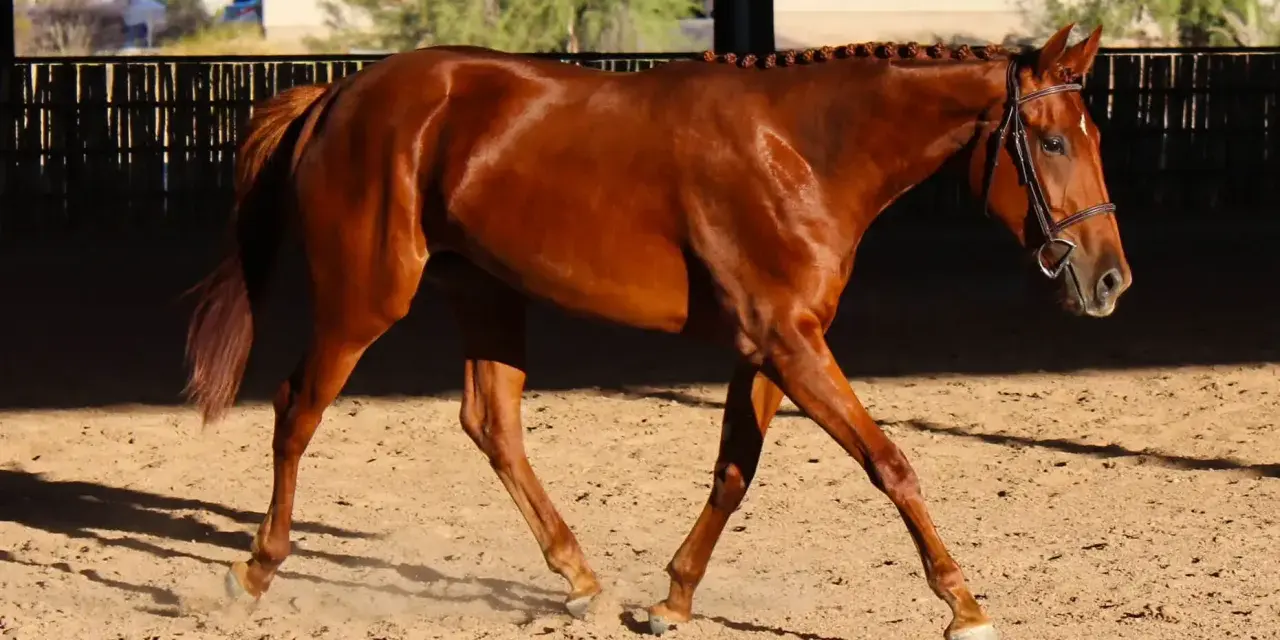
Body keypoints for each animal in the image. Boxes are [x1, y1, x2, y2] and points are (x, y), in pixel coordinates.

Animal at [183, 22, 1131, 640]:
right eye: (1050, 142)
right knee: (296, 407)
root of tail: (339, 94)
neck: (802, 149)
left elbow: (734, 473)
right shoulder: (790, 344)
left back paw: (582, 581)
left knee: (492, 424)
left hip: (487, 294)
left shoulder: (773, 348)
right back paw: (255, 570)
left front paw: (671, 600)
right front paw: (964, 605)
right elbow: (890, 463)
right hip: (364, 299)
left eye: (1093, 135)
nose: (1109, 279)